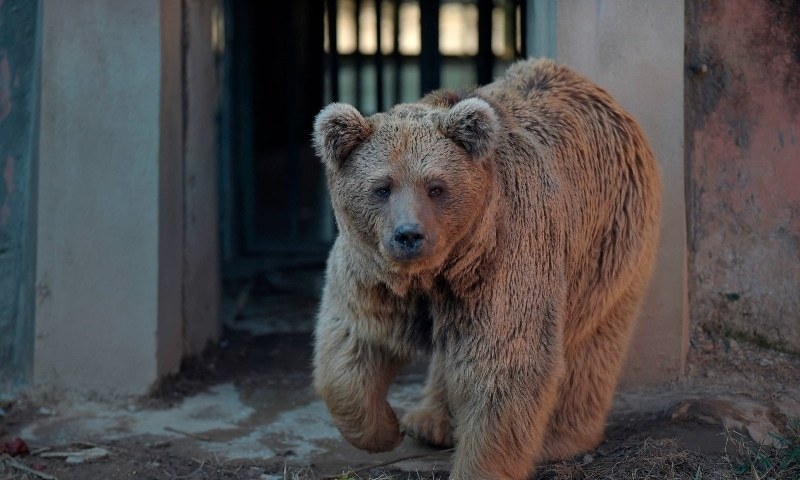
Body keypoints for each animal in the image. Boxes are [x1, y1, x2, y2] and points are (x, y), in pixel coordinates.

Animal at [312, 58, 664, 478]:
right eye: (382, 187)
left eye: (436, 187)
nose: (409, 235)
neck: (438, 271)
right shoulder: (373, 271)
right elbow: (353, 342)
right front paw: (385, 429)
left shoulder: (506, 256)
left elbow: (504, 361)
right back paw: (429, 421)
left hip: (608, 241)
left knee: (592, 339)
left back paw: (562, 438)